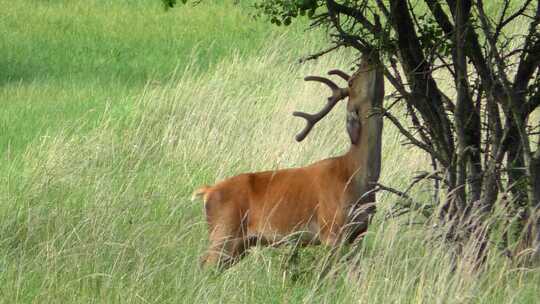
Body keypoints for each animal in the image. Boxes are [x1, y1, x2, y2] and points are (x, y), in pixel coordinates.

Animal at [193, 54, 384, 268]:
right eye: (352, 80)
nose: (370, 57)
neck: (355, 175)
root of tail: (208, 191)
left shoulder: (360, 232)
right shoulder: (332, 229)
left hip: (239, 245)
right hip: (223, 233)